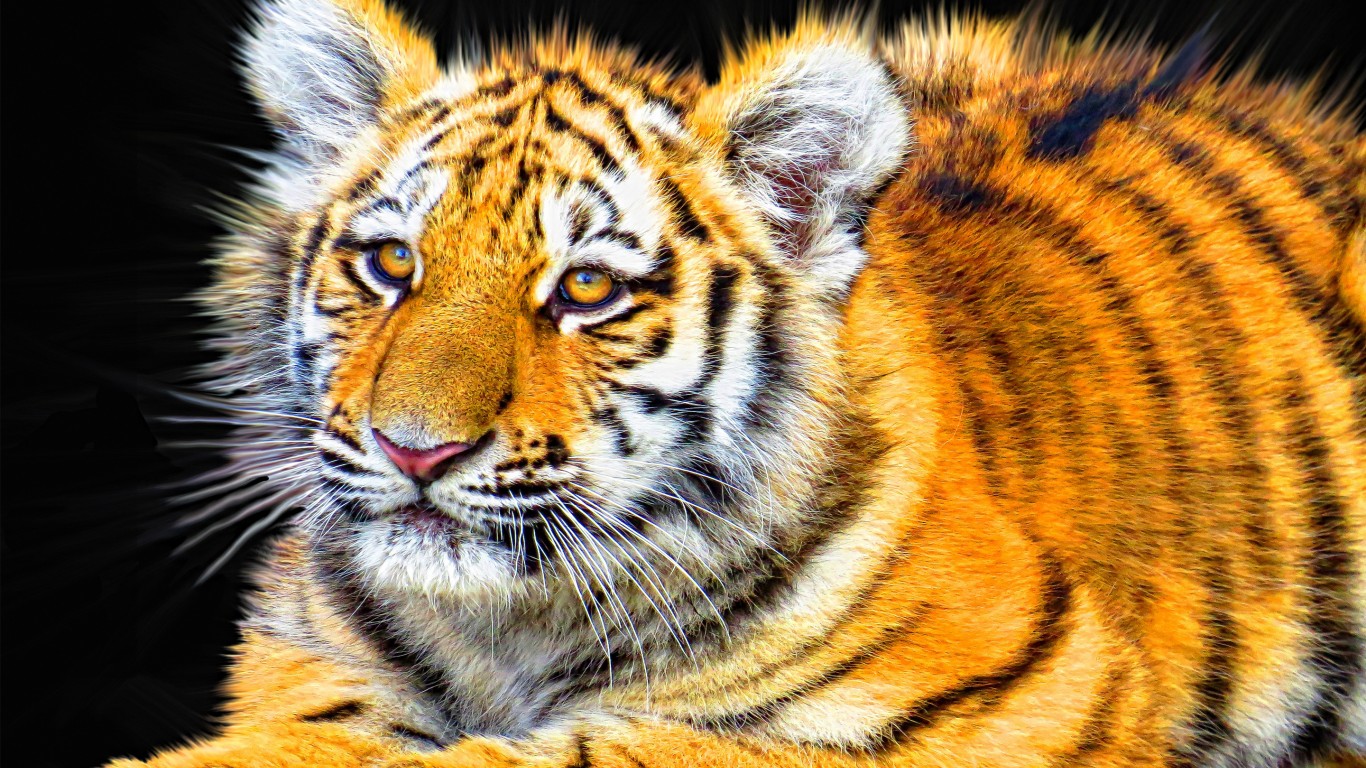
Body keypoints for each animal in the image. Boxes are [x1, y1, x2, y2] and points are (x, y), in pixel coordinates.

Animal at [105, 0, 1366, 765]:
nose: (416, 450)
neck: (512, 629)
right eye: (391, 264)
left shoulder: (1041, 701)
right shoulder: (311, 663)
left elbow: (611, 746)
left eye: (586, 290)